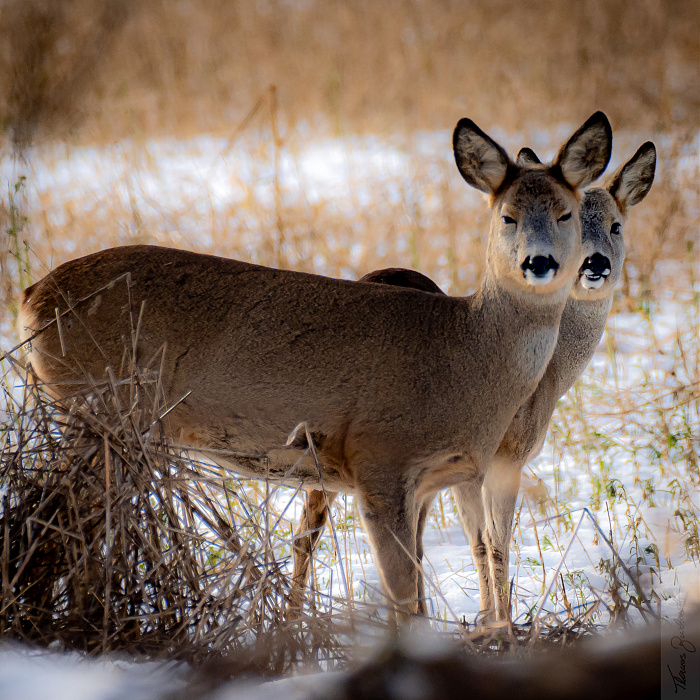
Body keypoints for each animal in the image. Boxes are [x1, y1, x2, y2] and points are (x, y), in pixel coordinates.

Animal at [17, 112, 612, 620]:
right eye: (507, 216)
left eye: (564, 213)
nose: (540, 262)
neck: (466, 353)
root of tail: (32, 295)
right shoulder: (380, 458)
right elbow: (404, 601)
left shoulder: (430, 481)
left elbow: (426, 588)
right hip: (99, 408)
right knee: (61, 520)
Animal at [290, 141, 656, 616]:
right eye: (573, 220)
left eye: (616, 225)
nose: (595, 263)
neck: (549, 376)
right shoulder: (500, 455)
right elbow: (492, 543)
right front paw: (498, 621)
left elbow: (475, 542)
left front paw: (484, 617)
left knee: (317, 532)